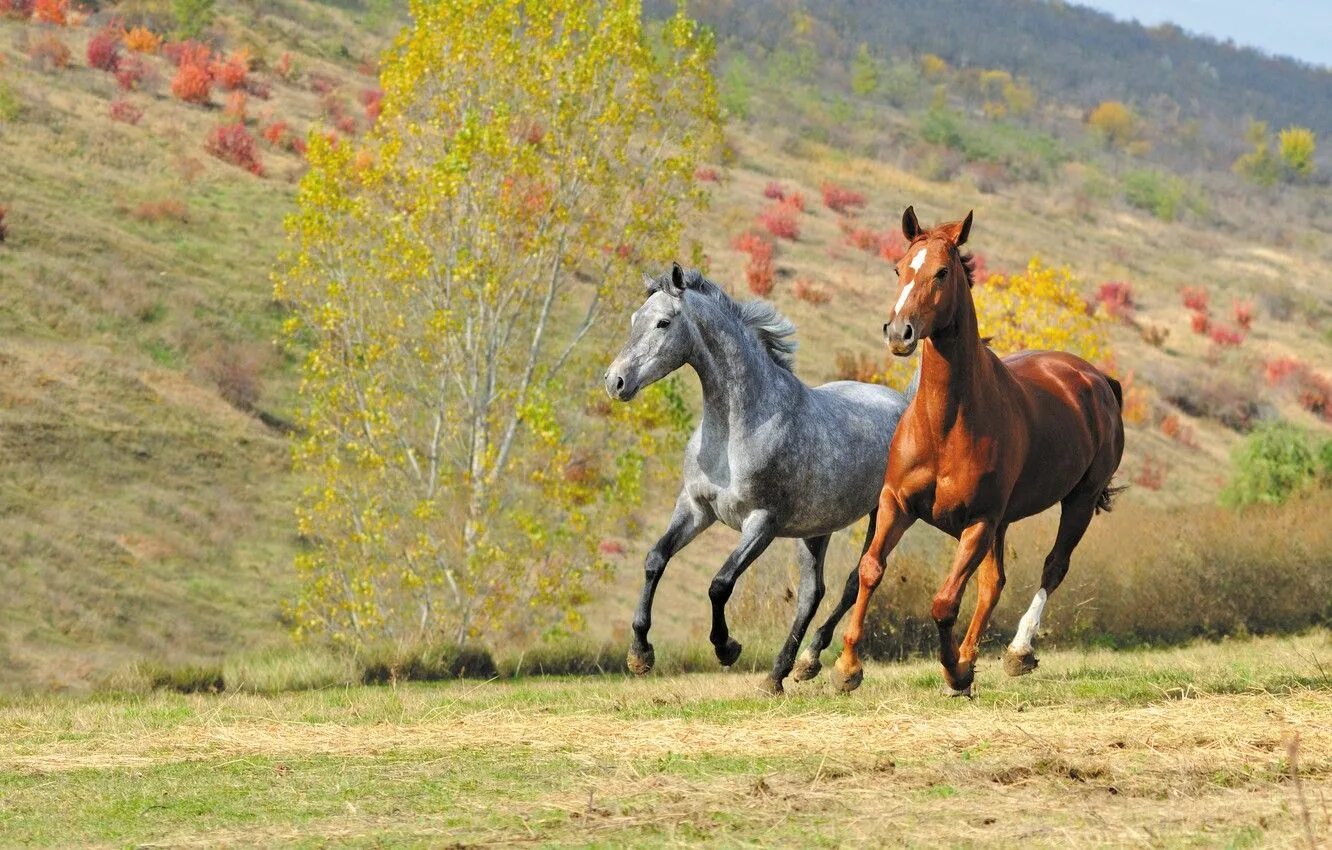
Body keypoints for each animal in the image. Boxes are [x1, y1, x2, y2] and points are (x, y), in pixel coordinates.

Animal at [607, 266, 911, 698]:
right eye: (635, 319)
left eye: (663, 323)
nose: (614, 381)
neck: (738, 427)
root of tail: (905, 402)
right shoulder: (695, 508)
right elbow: (655, 559)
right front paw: (640, 654)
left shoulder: (761, 523)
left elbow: (720, 583)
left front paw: (726, 648)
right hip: (816, 529)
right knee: (811, 593)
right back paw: (786, 672)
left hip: (885, 516)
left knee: (856, 581)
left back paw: (820, 667)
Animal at [831, 207, 1124, 698]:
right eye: (899, 268)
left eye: (942, 272)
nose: (899, 333)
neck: (946, 424)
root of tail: (1098, 379)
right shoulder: (897, 503)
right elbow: (870, 569)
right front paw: (846, 667)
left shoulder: (979, 521)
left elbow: (945, 601)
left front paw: (953, 671)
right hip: (1003, 523)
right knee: (993, 584)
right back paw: (973, 657)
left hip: (1078, 502)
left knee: (1052, 568)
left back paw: (1016, 653)